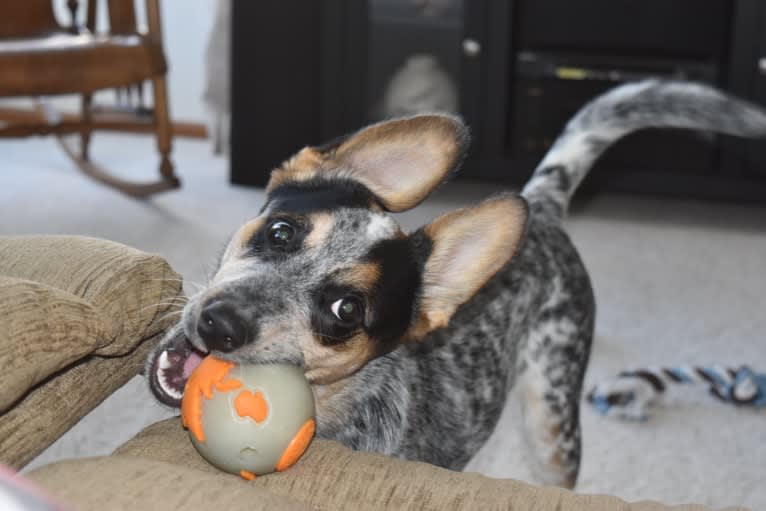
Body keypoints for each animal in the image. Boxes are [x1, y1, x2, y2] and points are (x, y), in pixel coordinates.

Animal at [147, 81, 766, 488]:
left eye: (347, 310)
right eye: (282, 231)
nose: (220, 323)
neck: (340, 409)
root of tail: (540, 209)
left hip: (553, 423)